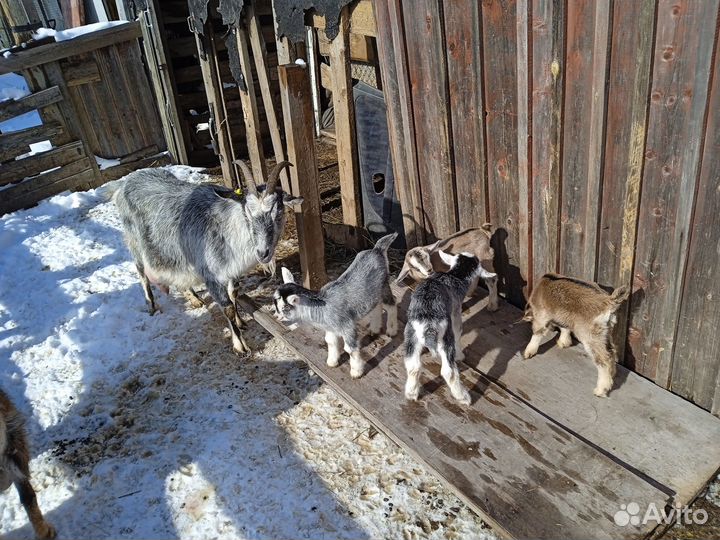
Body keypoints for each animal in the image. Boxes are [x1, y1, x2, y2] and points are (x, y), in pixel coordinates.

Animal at [114, 161, 302, 354]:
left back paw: (194, 298)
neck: (226, 230)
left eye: (278, 213)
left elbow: (233, 294)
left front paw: (240, 322)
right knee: (141, 273)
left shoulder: (232, 271)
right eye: (247, 213)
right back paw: (151, 305)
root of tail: (128, 180)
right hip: (134, 242)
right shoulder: (210, 275)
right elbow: (227, 307)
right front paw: (240, 346)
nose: (262, 252)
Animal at [273, 233, 398, 379]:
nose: (277, 317)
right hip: (373, 293)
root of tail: (377, 249)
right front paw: (332, 361)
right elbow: (330, 341)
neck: (322, 306)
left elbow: (350, 349)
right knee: (376, 306)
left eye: (285, 308)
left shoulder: (348, 326)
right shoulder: (331, 328)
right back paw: (375, 328)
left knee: (391, 304)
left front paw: (356, 372)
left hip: (384, 285)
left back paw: (391, 330)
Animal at [403, 251, 497, 405]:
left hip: (411, 335)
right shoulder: (456, 312)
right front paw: (460, 356)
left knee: (413, 366)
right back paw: (463, 397)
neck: (455, 275)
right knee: (449, 371)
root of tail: (428, 323)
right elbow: (459, 332)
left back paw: (411, 394)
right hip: (445, 337)